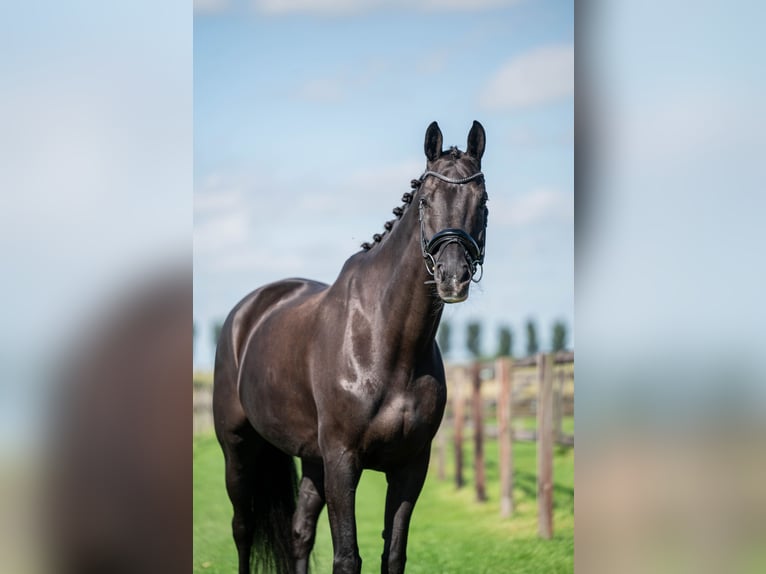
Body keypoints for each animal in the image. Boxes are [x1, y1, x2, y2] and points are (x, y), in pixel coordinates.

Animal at [213, 121, 488, 574]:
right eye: (425, 200)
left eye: (482, 201)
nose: (452, 277)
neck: (385, 343)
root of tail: (246, 312)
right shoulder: (343, 461)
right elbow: (346, 558)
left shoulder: (411, 466)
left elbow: (393, 555)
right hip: (238, 447)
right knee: (242, 527)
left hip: (311, 459)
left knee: (300, 531)